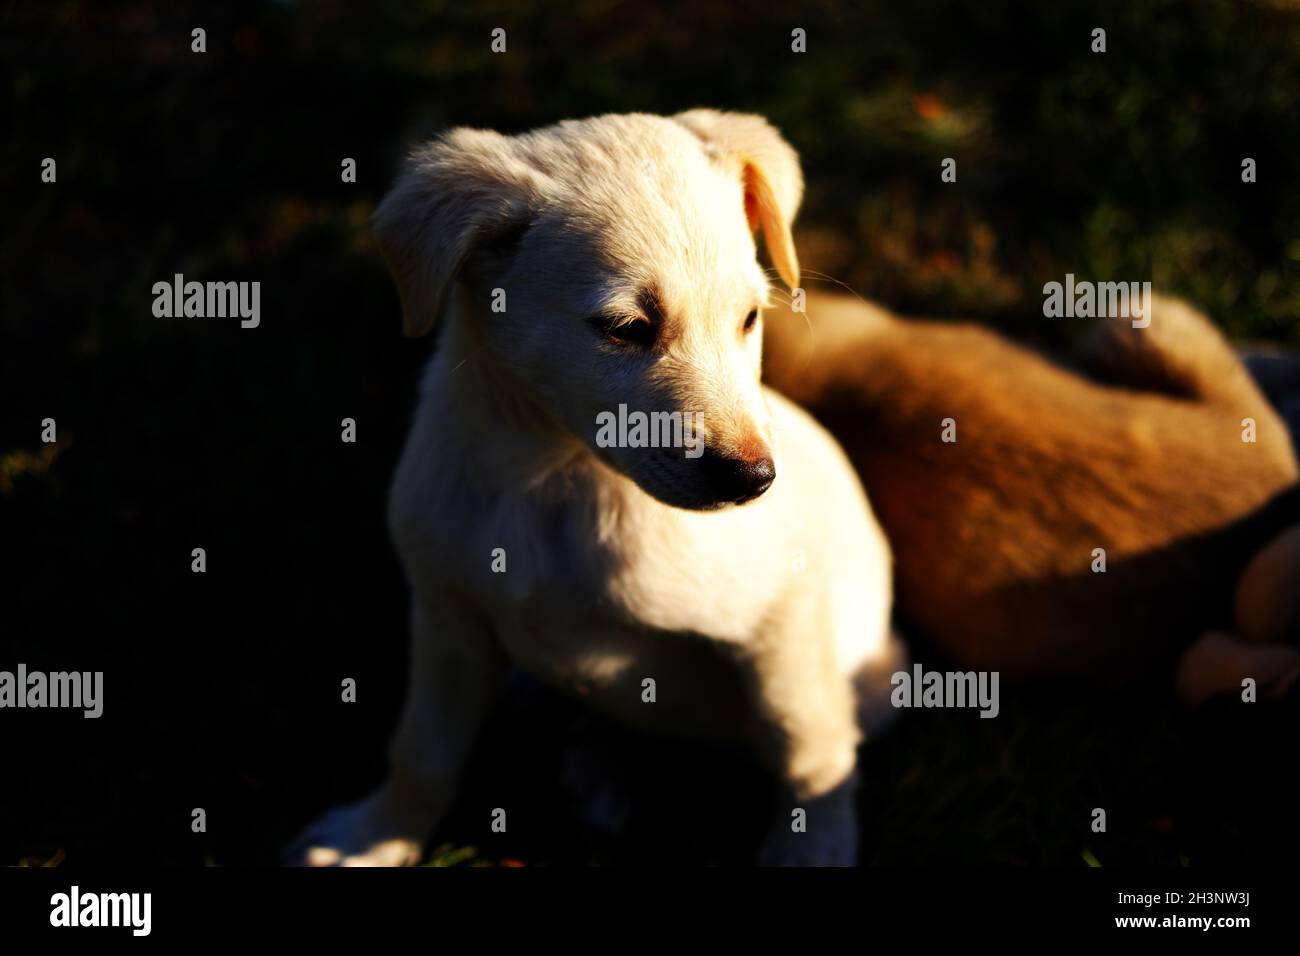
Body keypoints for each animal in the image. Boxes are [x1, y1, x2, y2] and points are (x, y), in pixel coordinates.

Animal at [292, 111, 904, 868]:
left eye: (749, 319)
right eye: (627, 329)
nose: (755, 479)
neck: (558, 478)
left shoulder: (779, 616)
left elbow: (809, 747)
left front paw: (812, 852)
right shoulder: (446, 616)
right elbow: (422, 753)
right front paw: (374, 837)